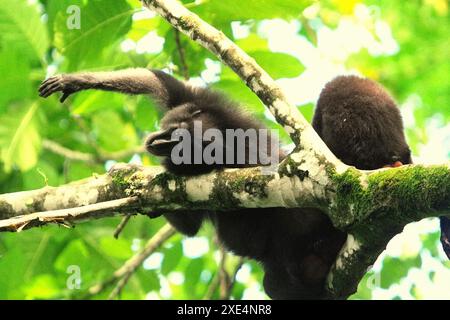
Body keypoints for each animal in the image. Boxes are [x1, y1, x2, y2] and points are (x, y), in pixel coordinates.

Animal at [39, 69, 446, 298]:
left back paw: (389, 161)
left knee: (342, 87)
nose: (168, 138)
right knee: (276, 284)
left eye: (184, 129)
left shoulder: (224, 121)